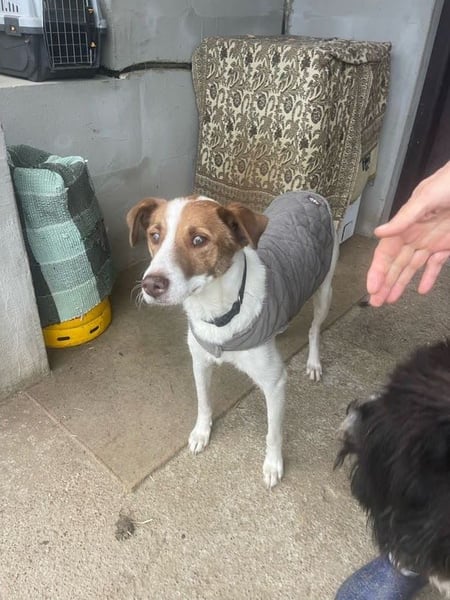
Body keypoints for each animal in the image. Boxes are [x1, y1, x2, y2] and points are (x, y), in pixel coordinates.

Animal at [127, 190, 339, 488]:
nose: (150, 285)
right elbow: (203, 403)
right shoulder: (200, 362)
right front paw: (201, 433)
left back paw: (314, 363)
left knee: (315, 329)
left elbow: (273, 433)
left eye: (199, 240)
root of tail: (309, 194)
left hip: (325, 289)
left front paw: (273, 464)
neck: (219, 311)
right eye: (155, 236)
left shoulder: (275, 383)